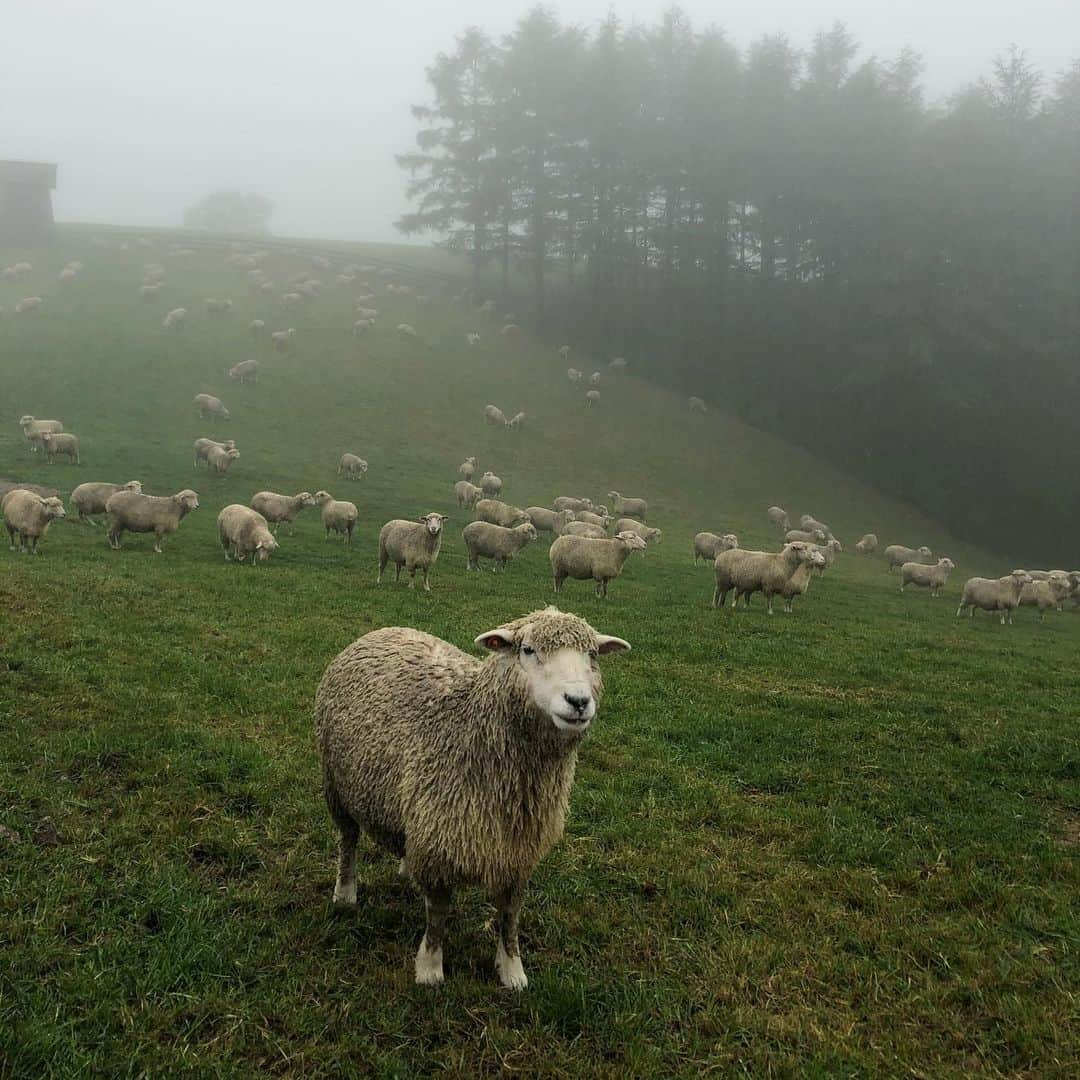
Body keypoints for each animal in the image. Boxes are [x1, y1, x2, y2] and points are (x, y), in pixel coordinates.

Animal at [313, 609, 630, 989]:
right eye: (527, 650)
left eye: (592, 655)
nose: (579, 701)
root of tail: (383, 630)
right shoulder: (439, 844)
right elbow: (437, 913)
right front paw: (430, 969)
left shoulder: (518, 852)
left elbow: (510, 915)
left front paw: (512, 970)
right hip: (335, 784)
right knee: (348, 840)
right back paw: (345, 893)